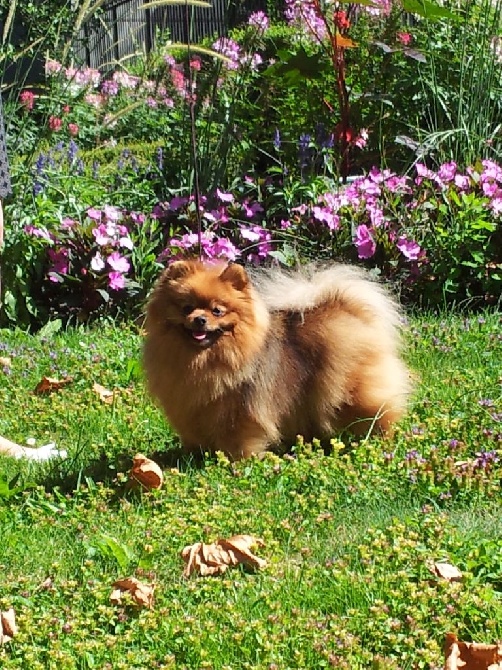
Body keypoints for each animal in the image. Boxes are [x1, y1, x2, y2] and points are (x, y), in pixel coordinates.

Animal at [143, 260, 410, 460]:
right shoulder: (189, 407)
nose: (199, 319)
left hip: (350, 390)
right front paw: (194, 455)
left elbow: (239, 439)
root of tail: (346, 309)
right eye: (186, 308)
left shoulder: (240, 412)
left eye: (217, 310)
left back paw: (378, 441)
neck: (202, 359)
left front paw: (236, 461)